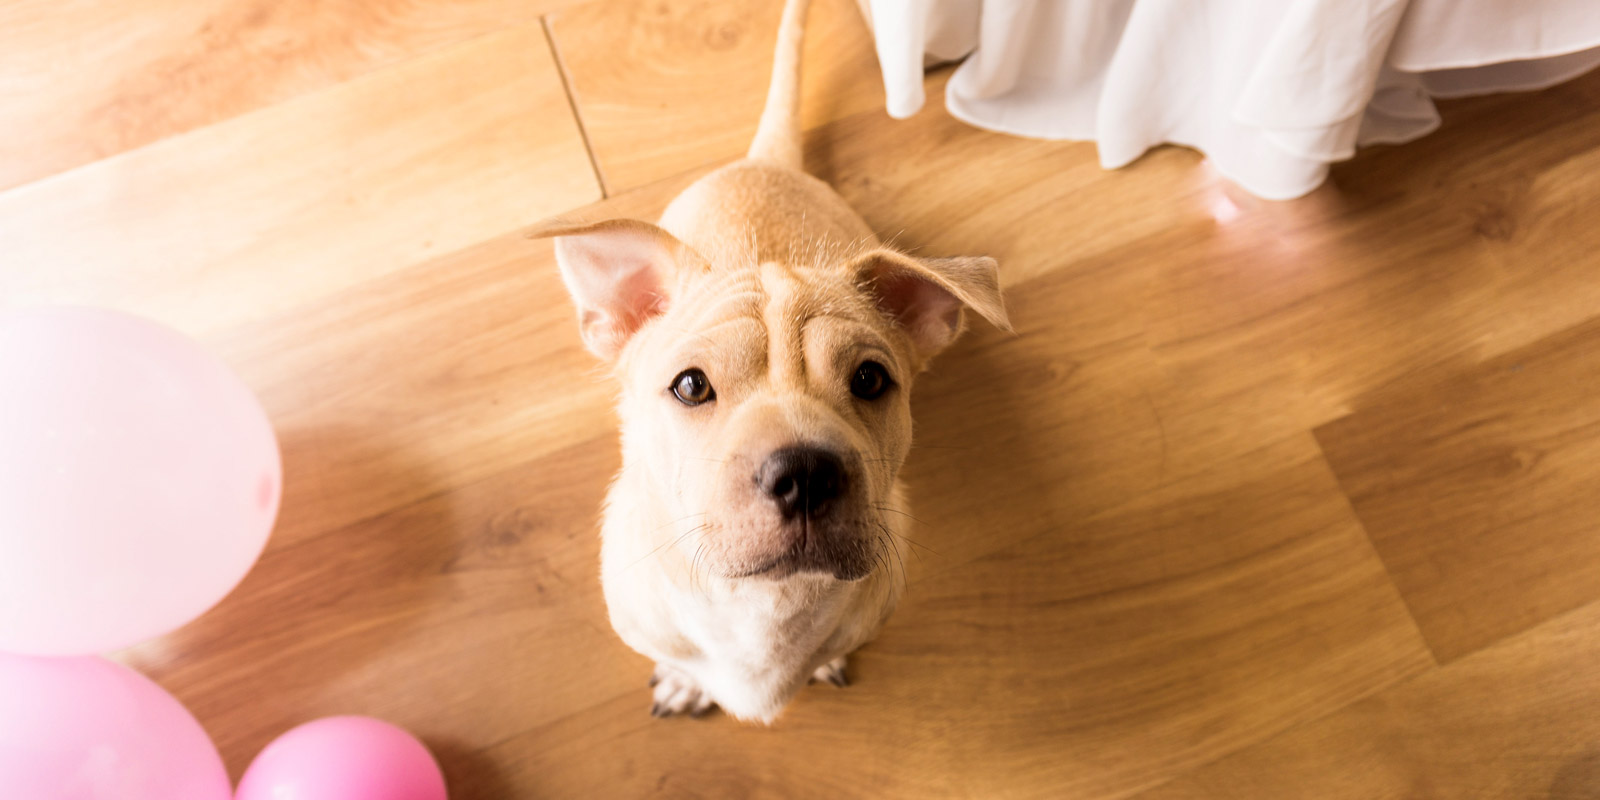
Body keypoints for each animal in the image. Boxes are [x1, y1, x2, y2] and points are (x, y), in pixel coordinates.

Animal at [534, 0, 1011, 726]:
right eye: (690, 386)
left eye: (871, 380)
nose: (806, 474)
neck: (765, 608)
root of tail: (767, 159)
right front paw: (687, 681)